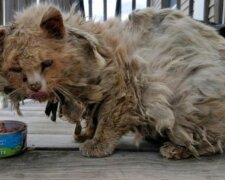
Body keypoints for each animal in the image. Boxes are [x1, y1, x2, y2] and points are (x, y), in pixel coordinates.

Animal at [1, 3, 225, 159]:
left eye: (46, 63)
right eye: (16, 69)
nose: (34, 86)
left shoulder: (124, 92)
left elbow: (107, 123)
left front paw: (97, 145)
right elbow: (93, 119)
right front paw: (86, 135)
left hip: (190, 101)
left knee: (212, 141)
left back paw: (175, 149)